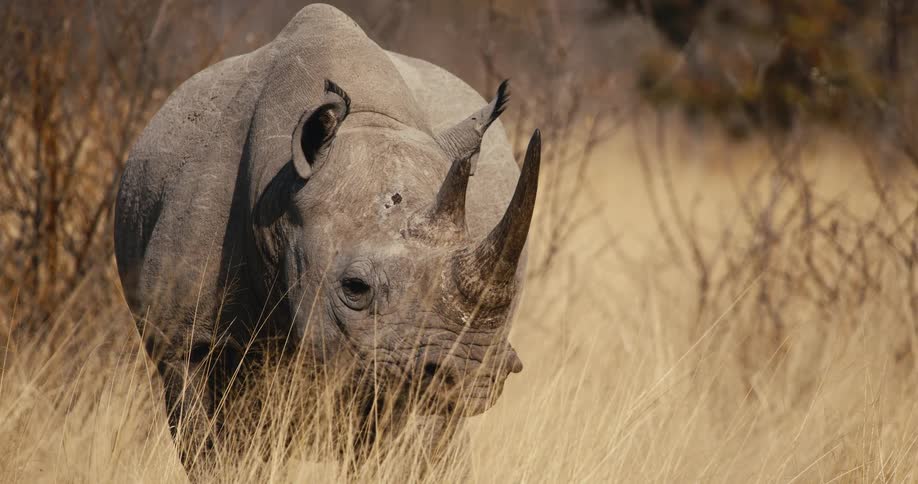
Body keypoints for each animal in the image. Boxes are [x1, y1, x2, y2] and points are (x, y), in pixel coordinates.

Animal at [114, 3, 540, 469]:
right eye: (354, 287)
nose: (470, 371)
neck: (281, 197)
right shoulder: (182, 343)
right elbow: (213, 452)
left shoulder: (393, 360)